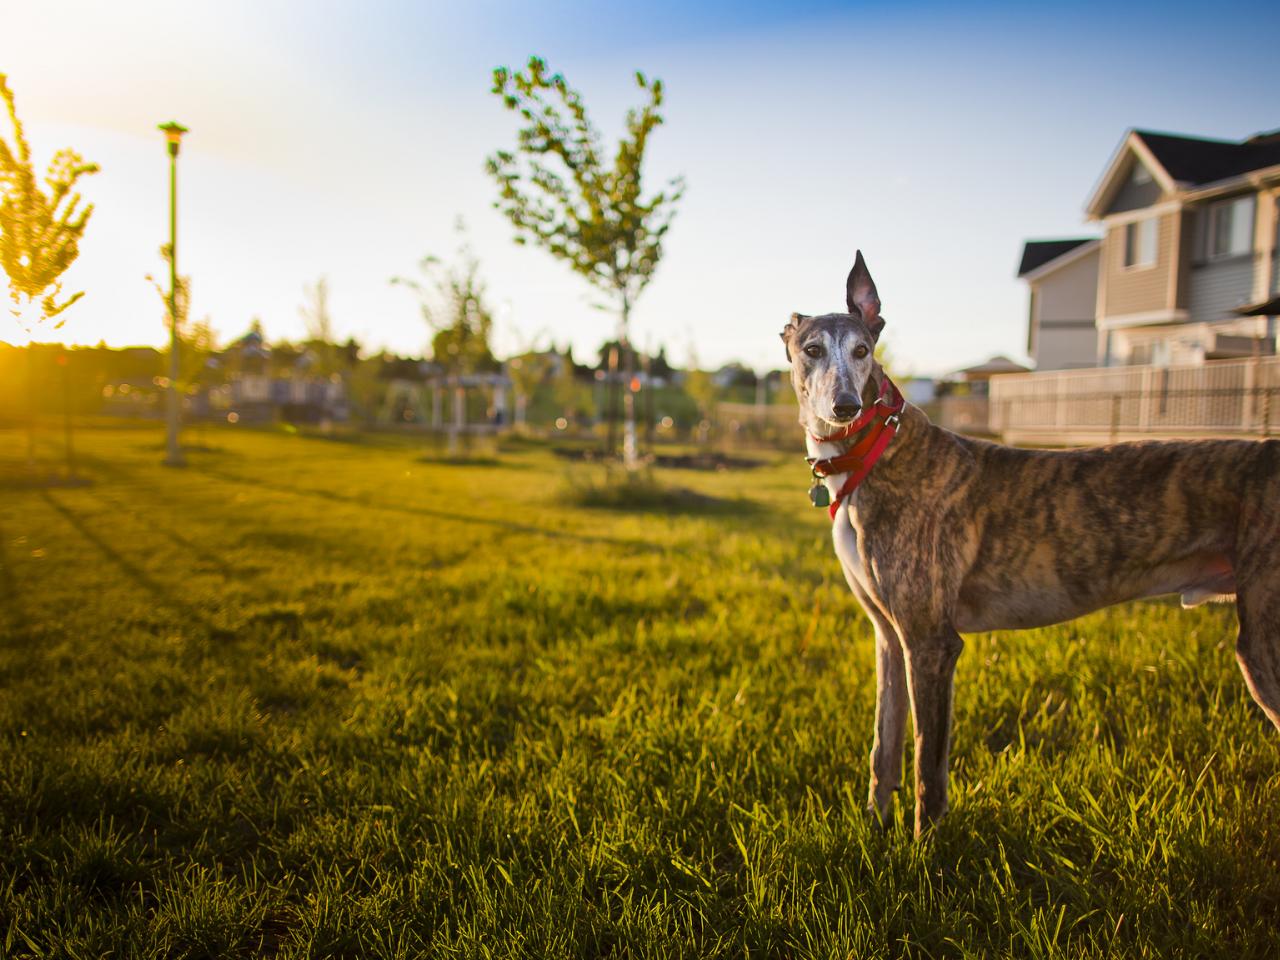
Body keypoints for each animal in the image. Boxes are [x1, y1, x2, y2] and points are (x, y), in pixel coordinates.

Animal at [778, 252, 1280, 839]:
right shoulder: (889, 634)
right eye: (812, 349)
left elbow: (928, 765)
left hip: (1263, 644)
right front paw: (876, 831)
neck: (877, 450)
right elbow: (886, 747)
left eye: (862, 351)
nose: (846, 406)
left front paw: (924, 852)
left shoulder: (932, 642)